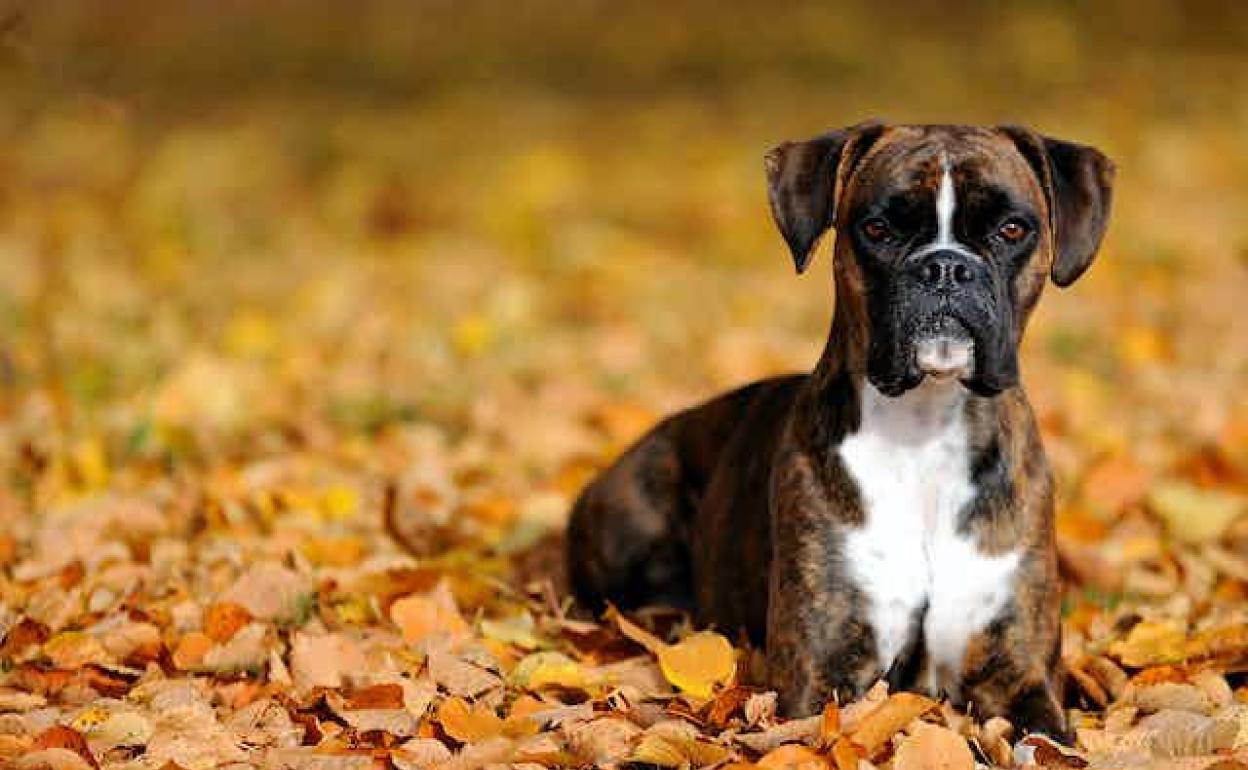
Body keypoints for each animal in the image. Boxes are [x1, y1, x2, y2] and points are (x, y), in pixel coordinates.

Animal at [566, 118, 1113, 733]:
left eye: (1012, 229)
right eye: (877, 228)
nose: (946, 266)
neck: (924, 429)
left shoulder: (1020, 676)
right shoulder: (821, 677)